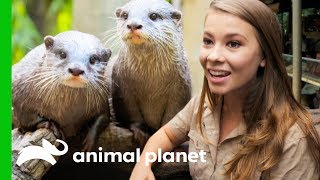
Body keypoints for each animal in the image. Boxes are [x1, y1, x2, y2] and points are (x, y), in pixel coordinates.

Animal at [107, 0, 192, 146]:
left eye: (153, 15)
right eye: (125, 15)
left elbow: (173, 116)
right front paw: (141, 132)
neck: (150, 84)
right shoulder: (122, 86)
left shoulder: (181, 89)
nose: (133, 25)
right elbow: (131, 111)